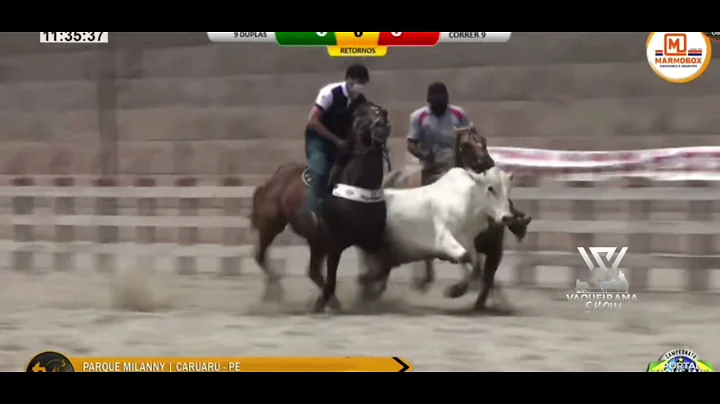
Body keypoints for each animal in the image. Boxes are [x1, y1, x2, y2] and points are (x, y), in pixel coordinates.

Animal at [250, 100, 390, 312]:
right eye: (361, 116)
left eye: (382, 112)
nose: (382, 128)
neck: (358, 186)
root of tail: (275, 177)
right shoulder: (335, 244)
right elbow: (332, 279)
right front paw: (321, 303)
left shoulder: (370, 239)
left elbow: (382, 268)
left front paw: (368, 295)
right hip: (272, 225)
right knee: (260, 255)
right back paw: (277, 291)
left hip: (315, 240)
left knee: (312, 271)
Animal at [358, 166, 516, 302]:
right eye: (490, 188)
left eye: (508, 189)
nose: (506, 217)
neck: (468, 201)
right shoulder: (443, 237)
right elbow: (464, 258)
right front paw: (454, 290)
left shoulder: (467, 240)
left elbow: (474, 264)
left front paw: (456, 291)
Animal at [382, 126, 528, 310]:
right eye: (466, 144)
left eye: (484, 141)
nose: (487, 162)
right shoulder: (449, 238)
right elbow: (471, 266)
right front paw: (456, 290)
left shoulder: (492, 249)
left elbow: (481, 272)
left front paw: (480, 299)